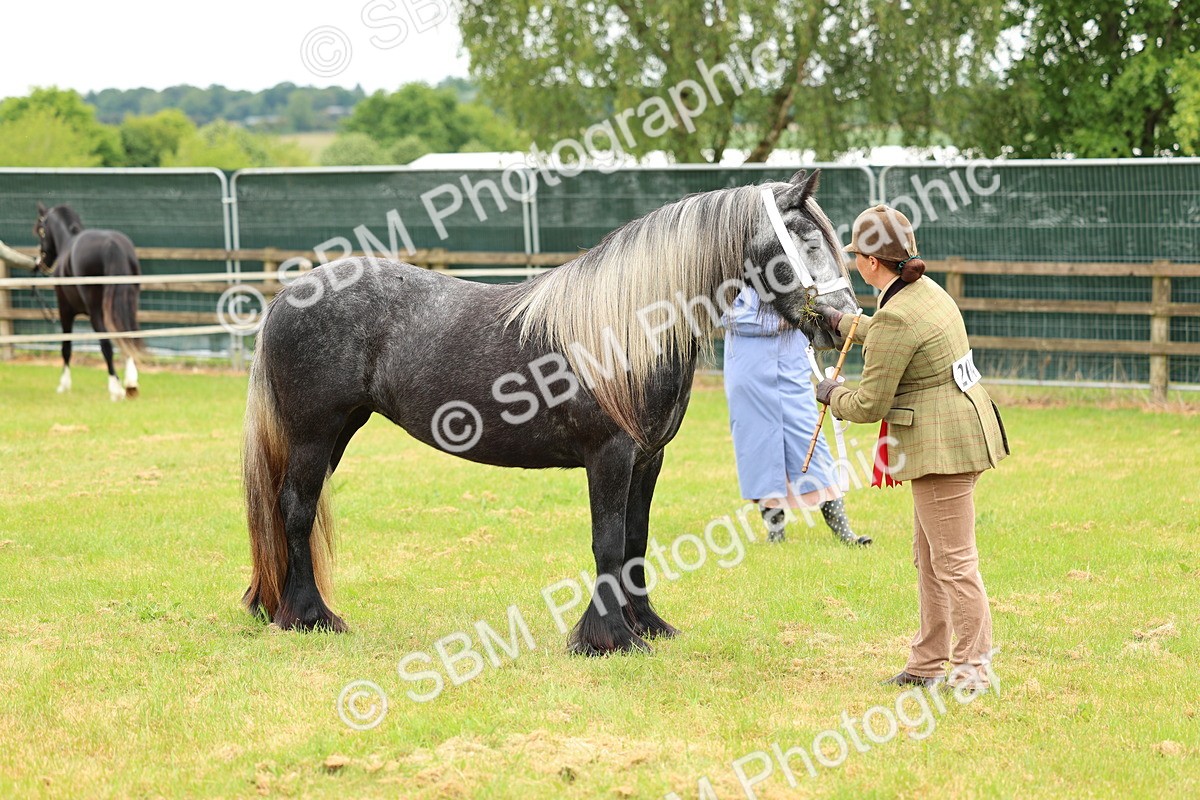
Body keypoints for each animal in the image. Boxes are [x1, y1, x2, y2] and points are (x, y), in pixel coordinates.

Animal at [33, 203, 142, 400]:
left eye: (40, 230)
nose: (41, 262)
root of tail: (112, 245)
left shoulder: (65, 310)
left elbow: (66, 346)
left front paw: (64, 385)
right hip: (126, 306)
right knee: (128, 336)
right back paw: (131, 384)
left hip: (96, 312)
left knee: (106, 344)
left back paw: (116, 389)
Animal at [242, 169, 857, 655]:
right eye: (807, 244)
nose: (840, 323)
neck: (625, 328)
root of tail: (289, 294)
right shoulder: (610, 457)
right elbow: (607, 541)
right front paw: (608, 639)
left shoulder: (647, 460)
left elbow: (635, 541)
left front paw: (646, 625)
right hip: (313, 435)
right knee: (295, 509)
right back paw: (310, 617)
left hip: (337, 433)